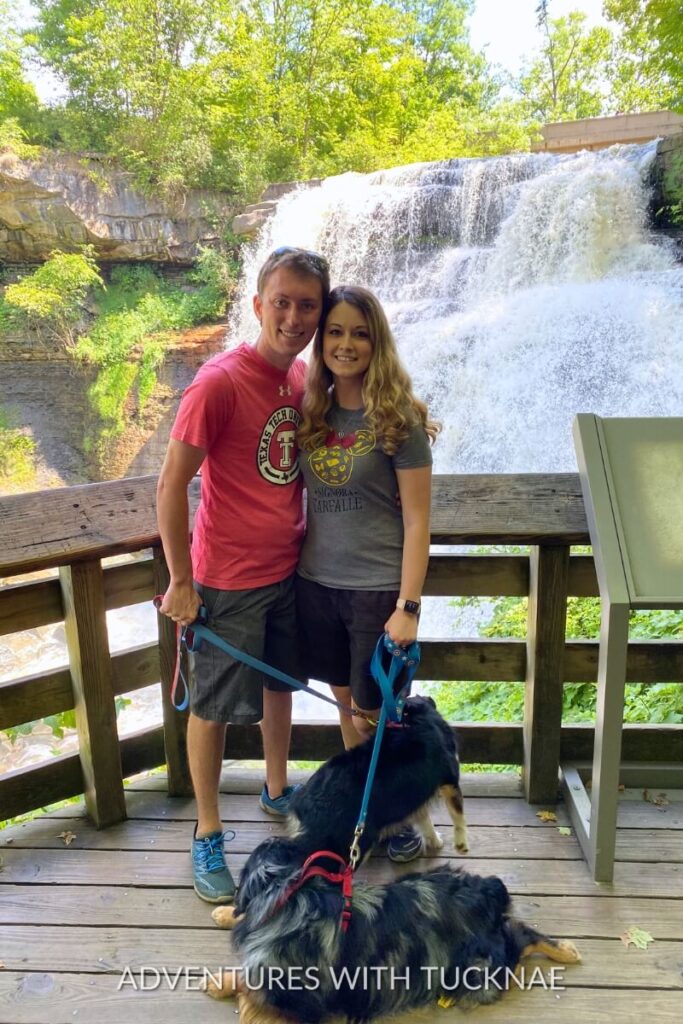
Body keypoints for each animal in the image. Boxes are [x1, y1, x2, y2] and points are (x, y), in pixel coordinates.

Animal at [208, 839, 581, 1024]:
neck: (293, 893)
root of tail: (486, 893)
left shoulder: (283, 990)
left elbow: (248, 984)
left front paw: (218, 982)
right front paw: (227, 913)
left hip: (475, 973)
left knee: (520, 941)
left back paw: (565, 950)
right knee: (518, 930)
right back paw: (566, 948)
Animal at [286, 692, 466, 860]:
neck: (411, 716)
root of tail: (300, 802)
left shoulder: (416, 791)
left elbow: (425, 821)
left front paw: (435, 842)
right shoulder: (449, 780)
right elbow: (458, 817)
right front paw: (461, 845)